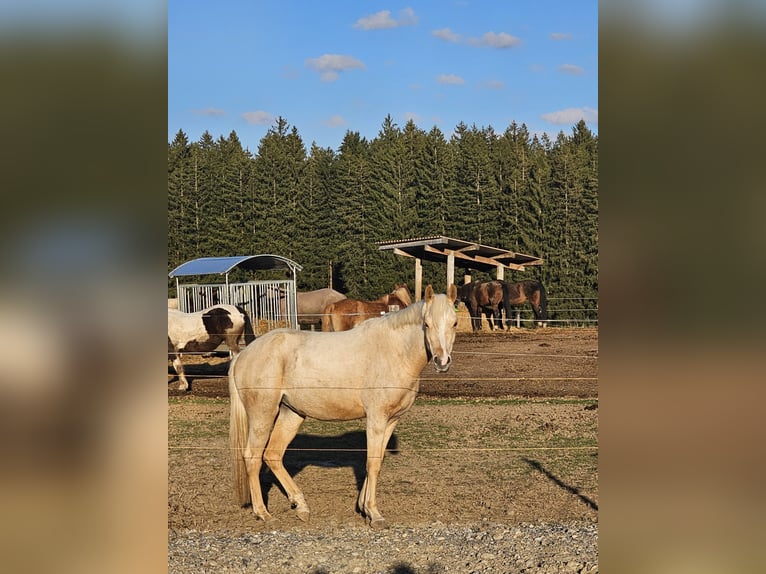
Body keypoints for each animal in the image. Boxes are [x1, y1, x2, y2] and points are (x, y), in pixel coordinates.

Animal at [228, 284, 458, 528]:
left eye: (454, 323)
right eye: (427, 324)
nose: (442, 361)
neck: (393, 351)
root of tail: (243, 354)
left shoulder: (391, 421)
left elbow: (377, 461)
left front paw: (363, 507)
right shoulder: (376, 419)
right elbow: (372, 464)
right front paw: (374, 514)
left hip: (291, 413)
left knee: (272, 455)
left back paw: (301, 505)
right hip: (263, 415)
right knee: (252, 457)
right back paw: (262, 512)